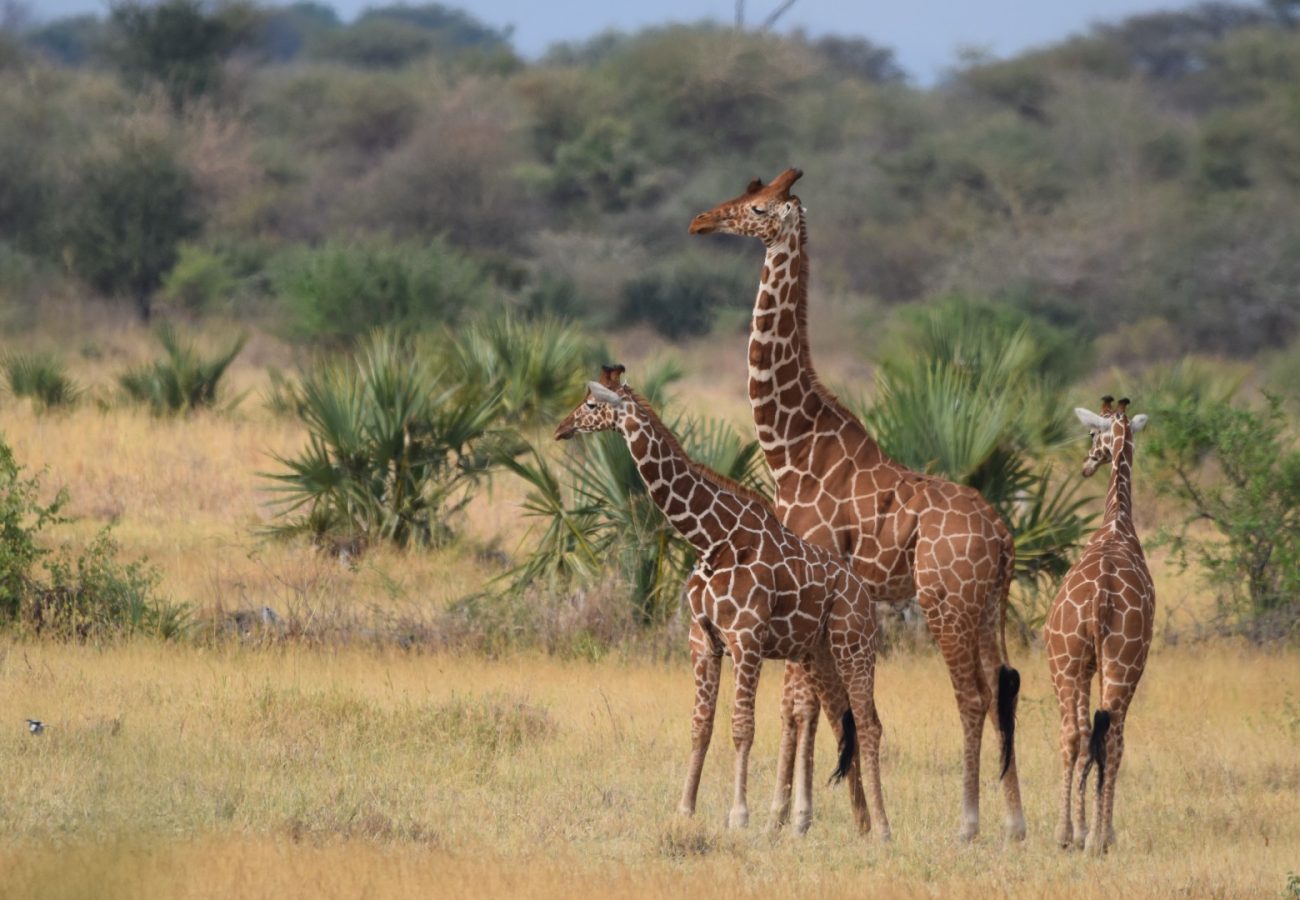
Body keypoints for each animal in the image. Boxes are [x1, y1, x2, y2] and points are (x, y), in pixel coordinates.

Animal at [553, 364, 889, 837]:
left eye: (590, 404)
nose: (560, 428)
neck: (713, 539)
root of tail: (864, 594)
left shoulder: (745, 638)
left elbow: (742, 727)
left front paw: (739, 815)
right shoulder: (704, 641)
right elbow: (701, 726)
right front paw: (684, 809)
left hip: (854, 643)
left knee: (870, 723)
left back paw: (883, 828)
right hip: (815, 652)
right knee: (835, 719)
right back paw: (851, 823)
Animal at [691, 169, 1024, 842]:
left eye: (758, 208)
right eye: (742, 193)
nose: (702, 222)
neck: (790, 445)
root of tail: (1003, 537)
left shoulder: (805, 578)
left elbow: (799, 703)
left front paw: (786, 816)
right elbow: (816, 703)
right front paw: (843, 815)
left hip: (946, 602)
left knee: (972, 696)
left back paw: (968, 823)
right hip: (985, 607)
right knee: (1002, 688)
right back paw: (1016, 822)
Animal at [1045, 397, 1159, 853]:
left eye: (1093, 433)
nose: (1087, 465)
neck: (1116, 524)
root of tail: (1101, 598)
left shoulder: (1090, 662)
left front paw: (1085, 829)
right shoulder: (1111, 663)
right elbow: (1107, 738)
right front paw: (1098, 830)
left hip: (1069, 662)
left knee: (1076, 733)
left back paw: (1071, 834)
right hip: (1117, 662)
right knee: (1104, 735)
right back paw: (1092, 837)